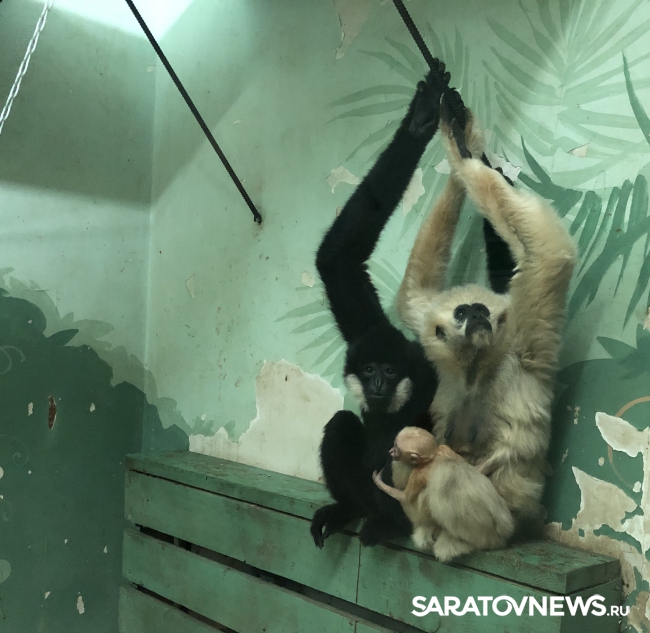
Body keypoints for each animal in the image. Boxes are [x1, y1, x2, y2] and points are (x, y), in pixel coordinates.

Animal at [372, 427, 514, 561]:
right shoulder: (445, 448)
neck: (434, 456)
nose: (391, 451)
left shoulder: (419, 472)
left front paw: (377, 481)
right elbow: (474, 467)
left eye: (396, 449)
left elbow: (405, 496)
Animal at [396, 91, 577, 543]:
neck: (476, 367)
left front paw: (462, 150)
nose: (477, 316)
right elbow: (413, 295)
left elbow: (551, 256)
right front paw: (463, 135)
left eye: (483, 311)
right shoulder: (426, 318)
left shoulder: (525, 336)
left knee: (444, 473)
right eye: (463, 312)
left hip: (505, 518)